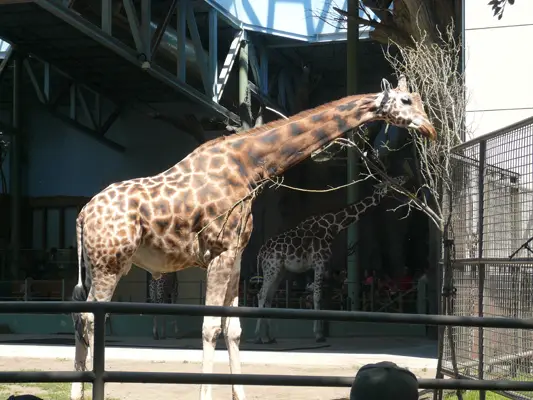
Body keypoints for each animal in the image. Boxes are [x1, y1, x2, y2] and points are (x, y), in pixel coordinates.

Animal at [254, 177, 404, 346]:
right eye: (390, 182)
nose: (403, 179)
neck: (333, 227)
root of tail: (261, 252)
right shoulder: (320, 263)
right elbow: (317, 296)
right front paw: (319, 335)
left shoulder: (324, 266)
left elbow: (322, 297)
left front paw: (320, 333)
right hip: (271, 268)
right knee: (261, 294)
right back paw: (260, 337)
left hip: (279, 270)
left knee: (269, 297)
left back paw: (269, 337)